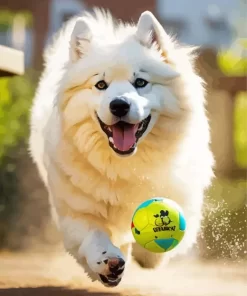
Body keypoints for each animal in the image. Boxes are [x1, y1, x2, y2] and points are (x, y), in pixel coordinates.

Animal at [29, 8, 214, 286]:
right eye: (100, 85)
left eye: (140, 82)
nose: (119, 105)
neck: (125, 164)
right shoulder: (75, 212)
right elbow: (94, 237)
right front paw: (108, 263)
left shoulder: (184, 199)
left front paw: (147, 253)